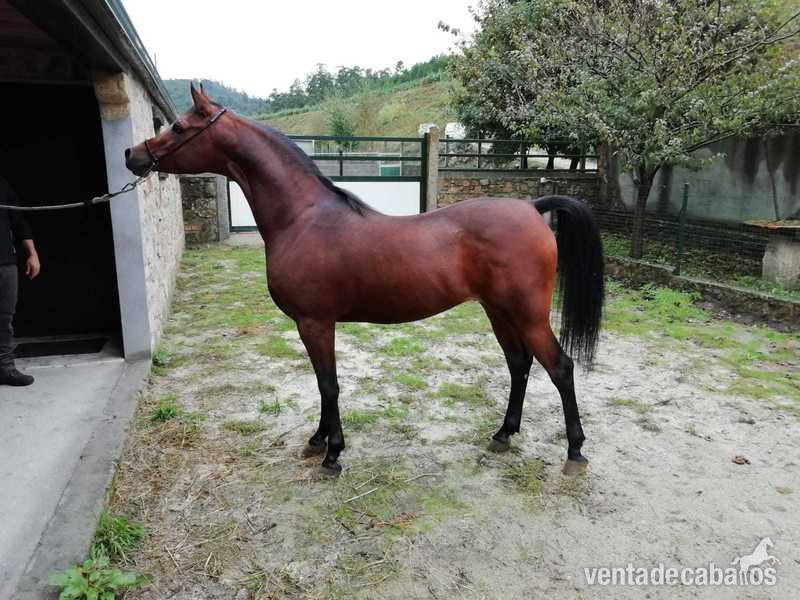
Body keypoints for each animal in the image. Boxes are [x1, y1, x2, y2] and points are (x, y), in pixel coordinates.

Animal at [125, 84, 605, 474]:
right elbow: (323, 383)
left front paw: (333, 453)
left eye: (178, 126)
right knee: (519, 364)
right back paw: (504, 433)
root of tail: (531, 207)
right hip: (498, 311)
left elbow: (329, 383)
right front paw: (318, 439)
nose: (133, 156)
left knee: (560, 367)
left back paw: (575, 451)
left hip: (527, 314)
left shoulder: (315, 322)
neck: (302, 218)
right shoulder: (313, 325)